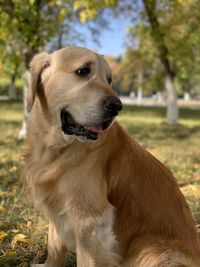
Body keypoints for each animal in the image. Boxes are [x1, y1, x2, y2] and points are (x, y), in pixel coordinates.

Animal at [23, 47, 200, 266]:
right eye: (83, 71)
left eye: (109, 80)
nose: (117, 106)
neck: (57, 149)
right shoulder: (57, 212)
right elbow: (54, 248)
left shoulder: (90, 222)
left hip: (148, 246)